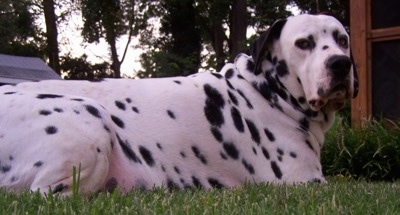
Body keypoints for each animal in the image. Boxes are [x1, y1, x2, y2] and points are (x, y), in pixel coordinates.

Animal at [0, 14, 356, 197]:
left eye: (342, 39)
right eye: (304, 43)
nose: (341, 64)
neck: (264, 90)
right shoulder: (303, 182)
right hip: (90, 119)